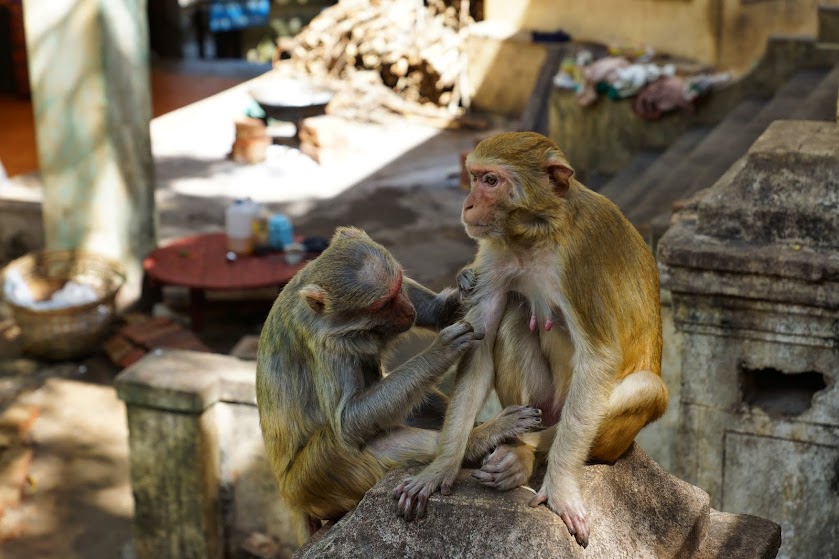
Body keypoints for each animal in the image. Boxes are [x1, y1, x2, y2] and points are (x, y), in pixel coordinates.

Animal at [258, 226, 544, 540]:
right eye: (383, 304)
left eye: (397, 290)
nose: (407, 309)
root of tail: (288, 497)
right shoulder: (326, 343)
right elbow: (347, 422)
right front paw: (441, 351)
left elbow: (437, 311)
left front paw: (467, 282)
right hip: (311, 483)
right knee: (342, 447)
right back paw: (480, 441)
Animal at [394, 132, 668, 548]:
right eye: (475, 177)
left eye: (491, 181)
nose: (468, 203)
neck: (537, 232)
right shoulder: (495, 252)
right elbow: (479, 343)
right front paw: (440, 468)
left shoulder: (581, 261)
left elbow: (599, 359)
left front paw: (561, 489)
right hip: (545, 401)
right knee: (514, 313)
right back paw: (514, 443)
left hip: (607, 437)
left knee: (645, 387)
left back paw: (524, 456)